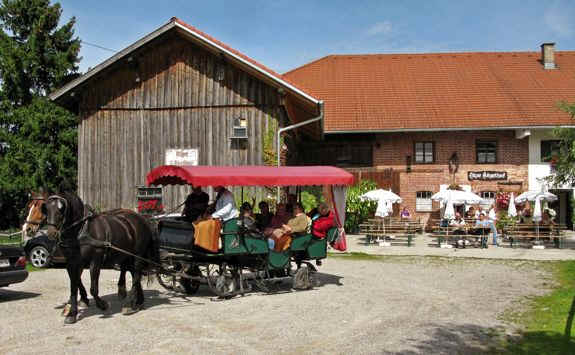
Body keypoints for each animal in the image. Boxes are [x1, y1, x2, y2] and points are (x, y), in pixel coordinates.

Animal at [42, 193, 156, 324]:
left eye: (62, 209)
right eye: (46, 209)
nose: (51, 233)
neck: (81, 231)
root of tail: (142, 219)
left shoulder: (95, 262)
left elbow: (93, 288)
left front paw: (102, 304)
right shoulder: (72, 263)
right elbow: (74, 287)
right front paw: (72, 313)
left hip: (138, 255)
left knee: (136, 276)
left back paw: (129, 304)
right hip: (128, 255)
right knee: (134, 275)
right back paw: (138, 302)